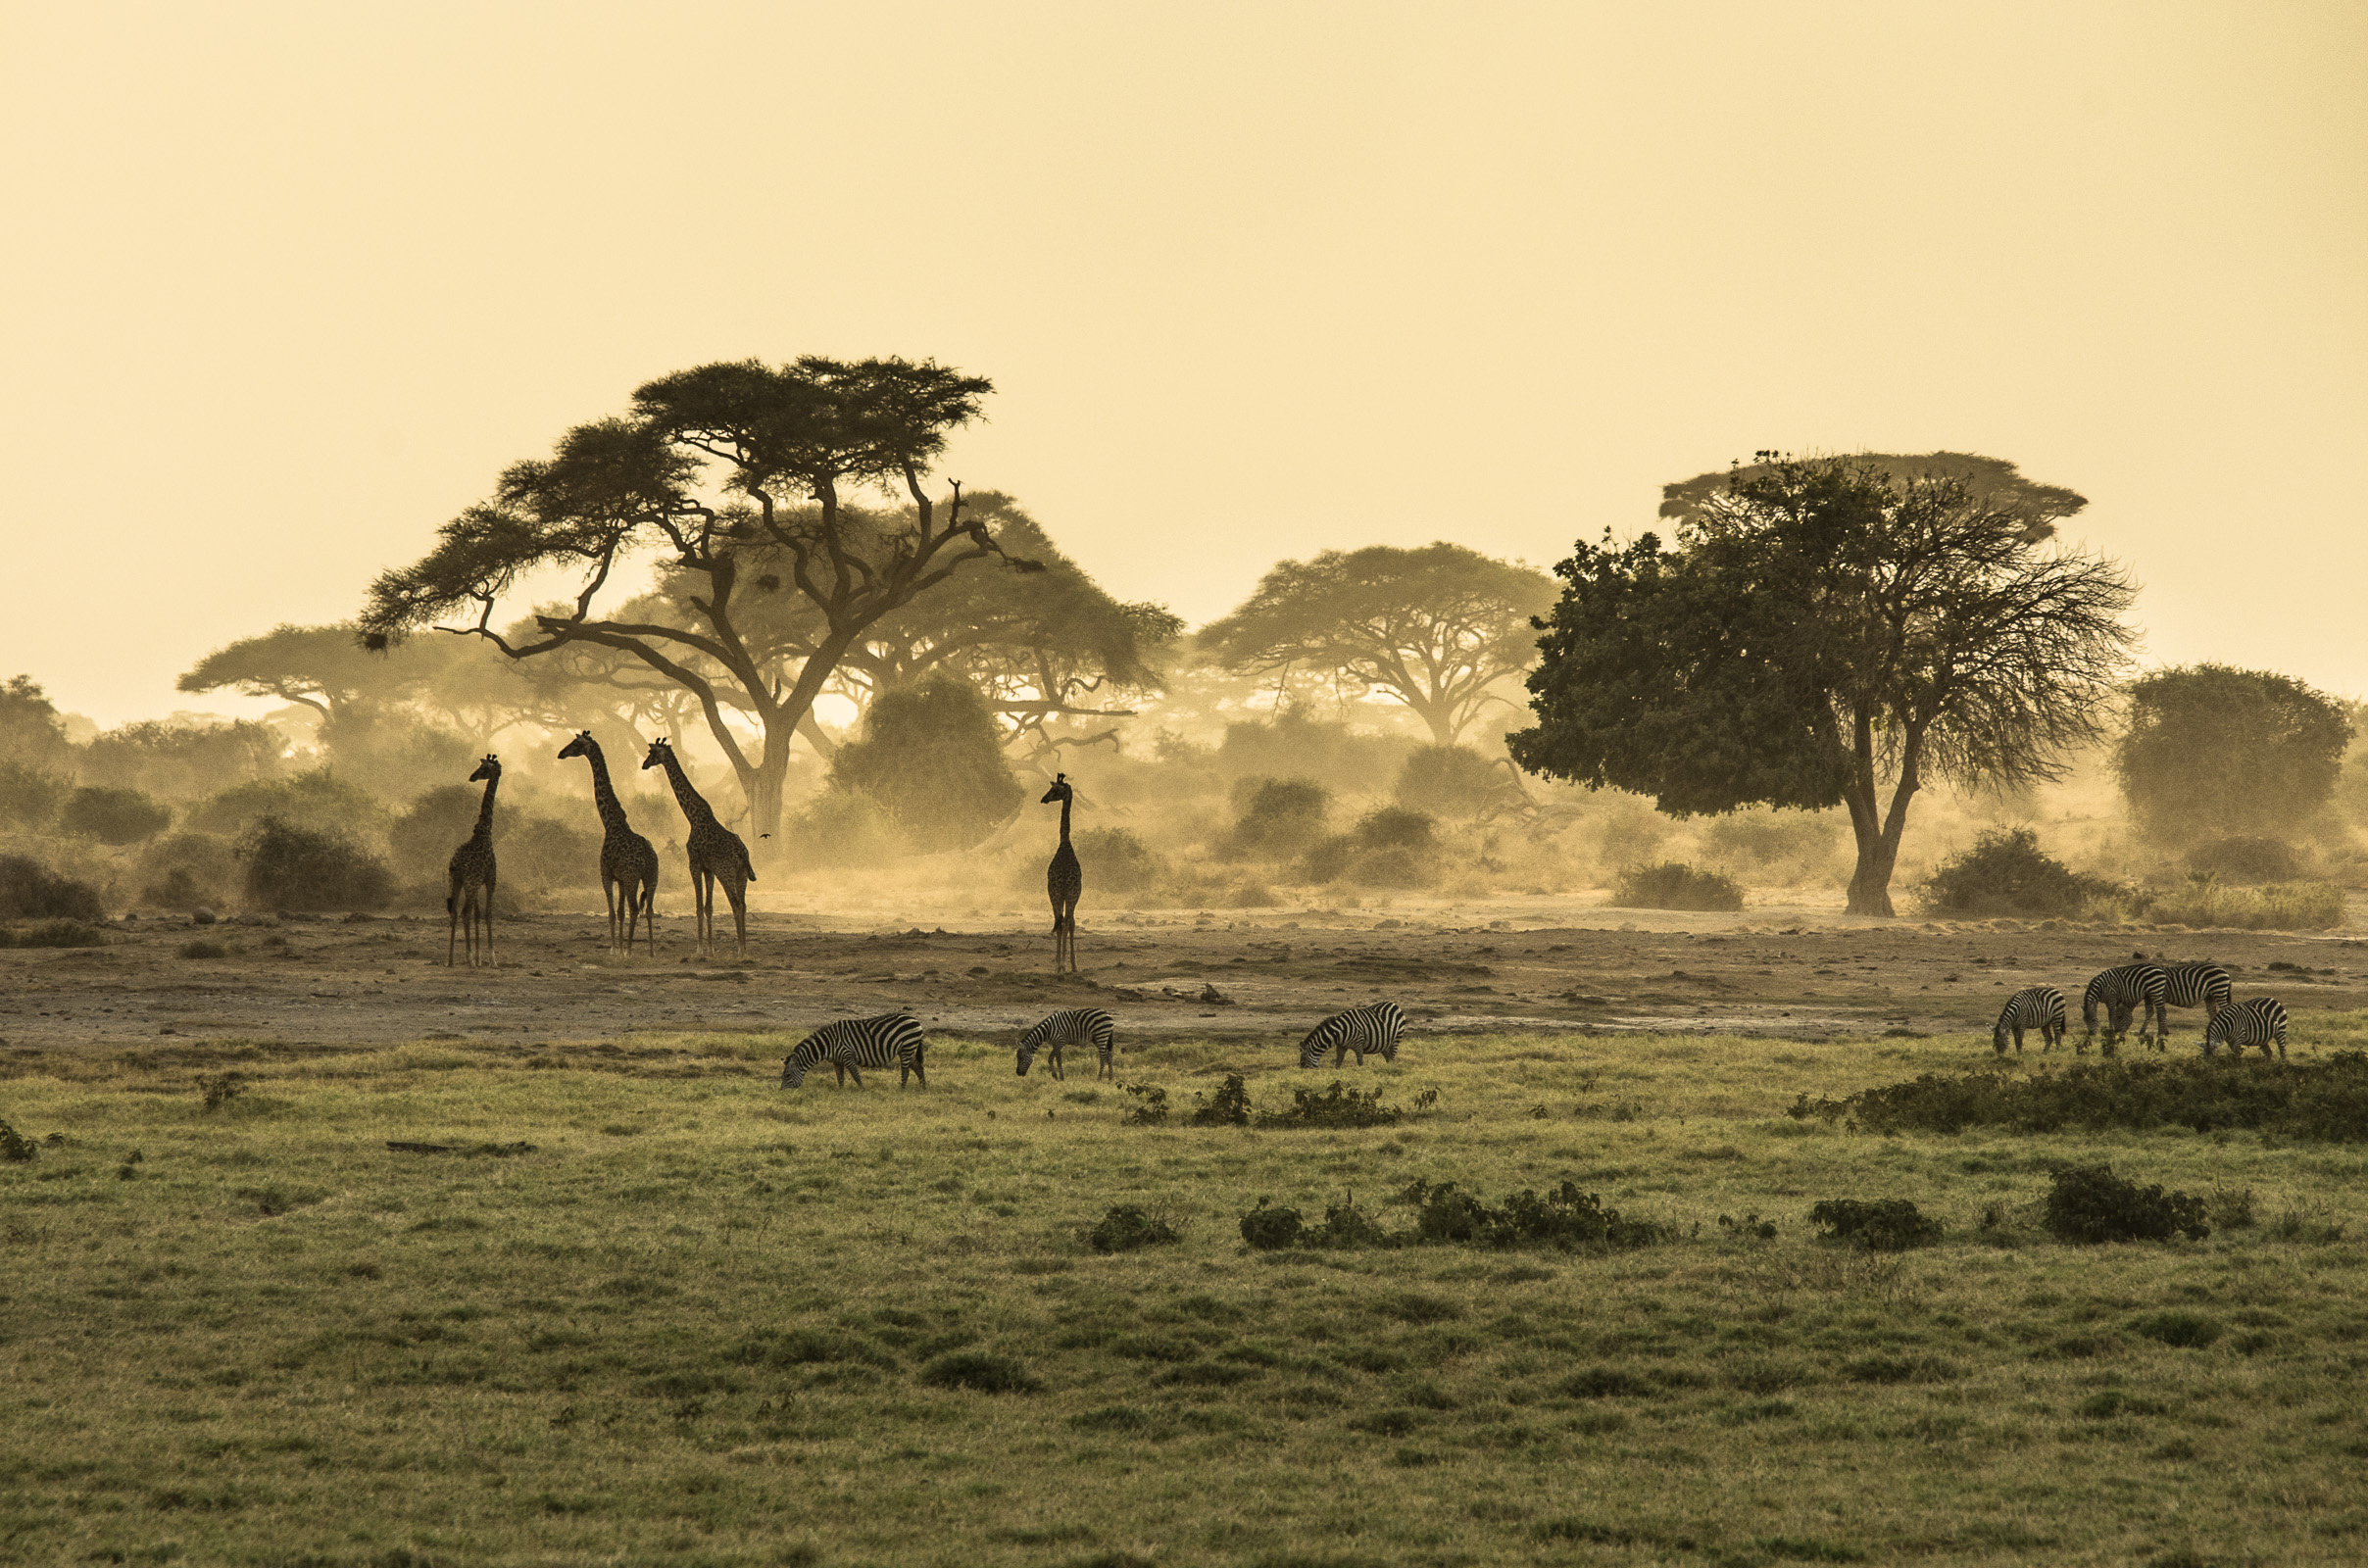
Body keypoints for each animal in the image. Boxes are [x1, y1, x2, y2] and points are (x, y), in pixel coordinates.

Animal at [445, 758, 502, 966]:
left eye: (484, 768)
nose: (472, 777)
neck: (484, 832)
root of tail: (457, 864)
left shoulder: (477, 882)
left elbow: (478, 914)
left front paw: (479, 959)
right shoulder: (490, 879)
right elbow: (488, 914)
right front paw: (491, 959)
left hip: (455, 880)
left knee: (454, 912)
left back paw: (450, 960)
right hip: (470, 882)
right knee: (464, 912)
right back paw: (468, 959)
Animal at [559, 734, 663, 956]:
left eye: (576, 743)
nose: (560, 753)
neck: (610, 823)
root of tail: (649, 857)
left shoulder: (605, 874)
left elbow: (612, 913)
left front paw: (615, 950)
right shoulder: (621, 879)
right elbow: (621, 912)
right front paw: (621, 949)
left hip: (634, 878)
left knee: (635, 908)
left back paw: (631, 950)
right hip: (652, 877)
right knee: (648, 910)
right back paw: (650, 951)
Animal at [639, 743, 748, 966]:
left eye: (652, 753)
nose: (644, 764)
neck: (693, 816)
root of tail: (743, 854)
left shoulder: (694, 863)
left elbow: (698, 906)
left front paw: (698, 950)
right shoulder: (708, 869)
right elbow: (708, 907)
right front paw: (711, 949)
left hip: (726, 873)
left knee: (735, 903)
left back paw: (740, 950)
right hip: (741, 875)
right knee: (743, 904)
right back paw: (745, 949)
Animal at [776, 1018, 923, 1094]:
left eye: (787, 1075)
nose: (781, 1091)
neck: (828, 1044)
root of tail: (915, 1019)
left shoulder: (847, 1055)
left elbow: (855, 1075)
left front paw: (862, 1090)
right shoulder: (837, 1061)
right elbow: (840, 1077)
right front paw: (841, 1091)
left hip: (907, 1046)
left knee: (906, 1071)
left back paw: (902, 1090)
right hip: (907, 1049)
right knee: (918, 1067)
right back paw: (923, 1087)